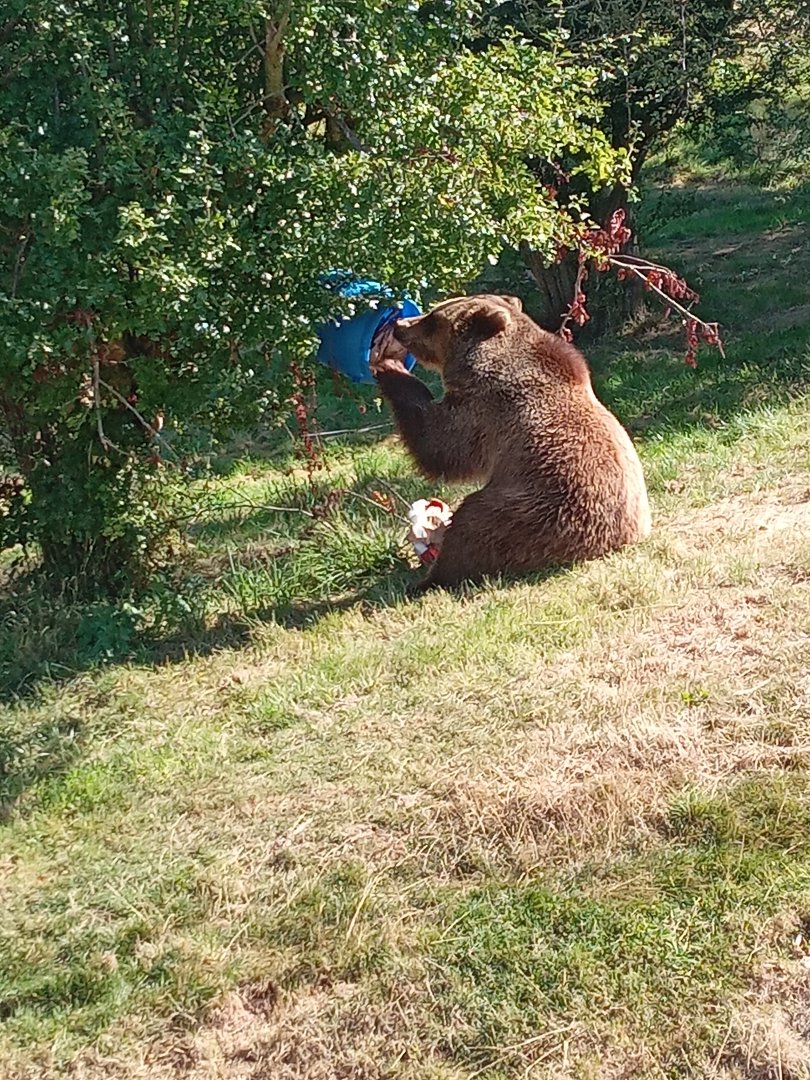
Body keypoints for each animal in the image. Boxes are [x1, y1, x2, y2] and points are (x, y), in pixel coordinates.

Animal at [371, 293, 651, 590]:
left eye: (433, 318)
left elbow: (440, 444)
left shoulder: (484, 411)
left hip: (533, 514)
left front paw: (387, 364)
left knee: (472, 529)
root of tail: (612, 545)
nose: (400, 325)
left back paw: (429, 577)